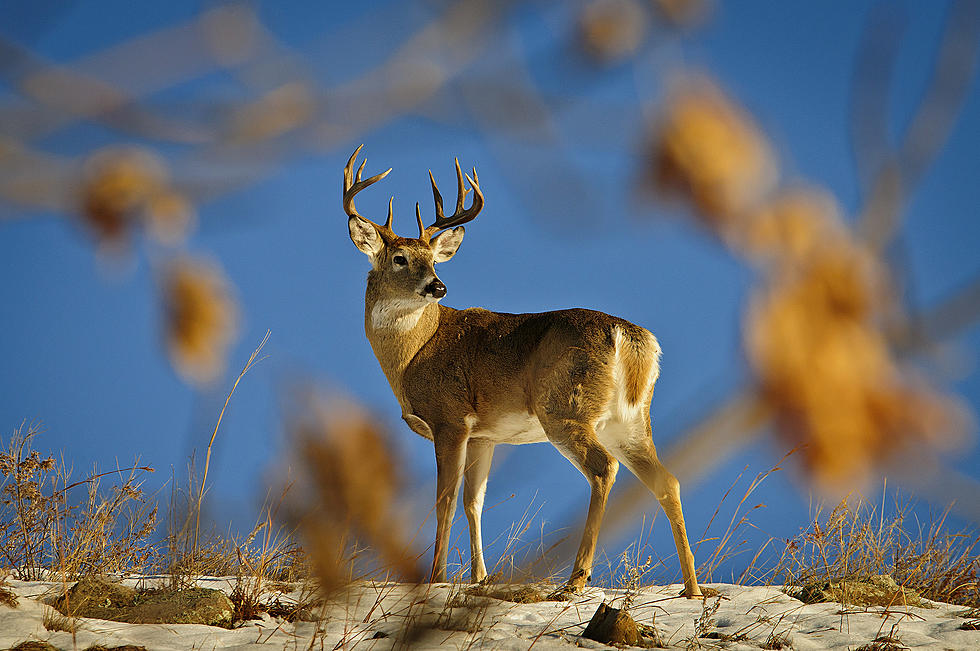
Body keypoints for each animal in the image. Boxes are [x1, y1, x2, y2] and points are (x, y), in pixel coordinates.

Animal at [340, 145, 700, 600]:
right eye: (400, 259)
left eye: (433, 260)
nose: (438, 287)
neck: (414, 353)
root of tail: (632, 337)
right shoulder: (484, 434)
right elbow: (473, 502)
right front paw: (479, 578)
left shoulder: (449, 418)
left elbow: (444, 500)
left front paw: (436, 577)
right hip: (631, 421)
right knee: (667, 481)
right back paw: (693, 589)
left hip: (565, 408)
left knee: (603, 469)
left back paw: (576, 578)